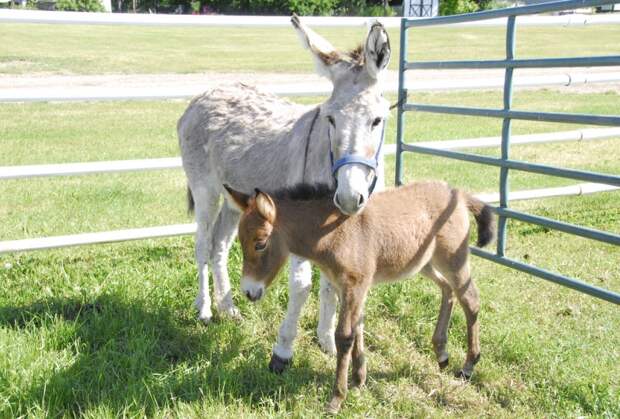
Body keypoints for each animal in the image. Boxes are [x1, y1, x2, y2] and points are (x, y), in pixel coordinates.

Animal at [225, 182, 496, 416]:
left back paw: (468, 365)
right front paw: (358, 380)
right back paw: (441, 354)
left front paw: (337, 398)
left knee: (470, 300)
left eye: (260, 243)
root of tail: (458, 194)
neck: (335, 233)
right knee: (447, 290)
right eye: (240, 241)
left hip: (453, 259)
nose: (249, 292)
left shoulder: (354, 285)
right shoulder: (346, 287)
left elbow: (344, 336)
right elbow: (357, 328)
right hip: (424, 263)